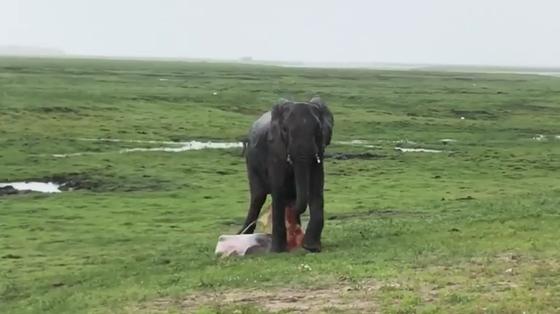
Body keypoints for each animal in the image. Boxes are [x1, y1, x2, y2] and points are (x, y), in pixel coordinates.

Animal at [238, 95, 334, 253]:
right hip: (251, 162)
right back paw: (242, 236)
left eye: (318, 130)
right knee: (258, 198)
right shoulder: (274, 149)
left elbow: (316, 186)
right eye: (284, 130)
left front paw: (312, 248)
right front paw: (277, 251)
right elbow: (278, 189)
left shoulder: (320, 149)